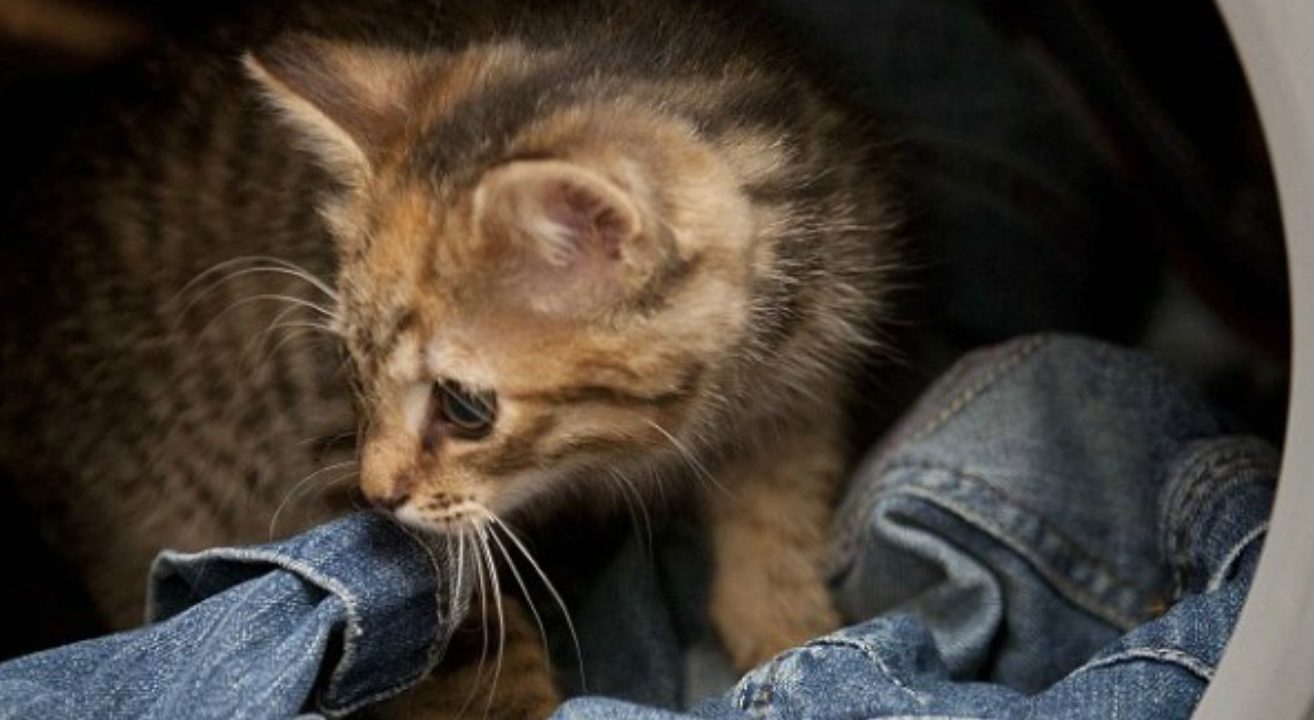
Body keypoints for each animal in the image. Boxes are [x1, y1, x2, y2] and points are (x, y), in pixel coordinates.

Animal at [0, 0, 898, 714]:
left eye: (465, 408)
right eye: (349, 366)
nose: (378, 491)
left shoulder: (803, 379)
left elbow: (779, 508)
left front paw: (791, 631)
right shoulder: (329, 453)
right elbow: (460, 633)